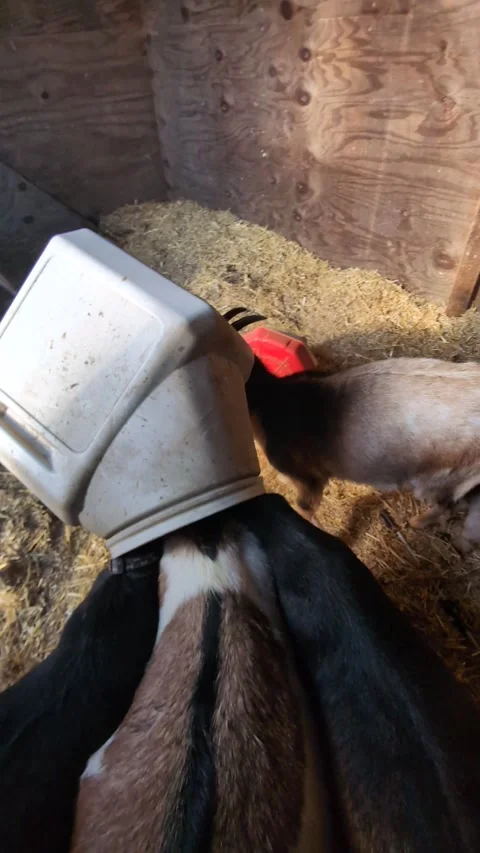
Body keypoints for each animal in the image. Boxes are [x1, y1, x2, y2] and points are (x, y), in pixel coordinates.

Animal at [243, 355, 480, 545]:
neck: (268, 398)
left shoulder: (307, 479)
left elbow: (304, 508)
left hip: (440, 479)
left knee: (446, 506)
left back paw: (417, 522)